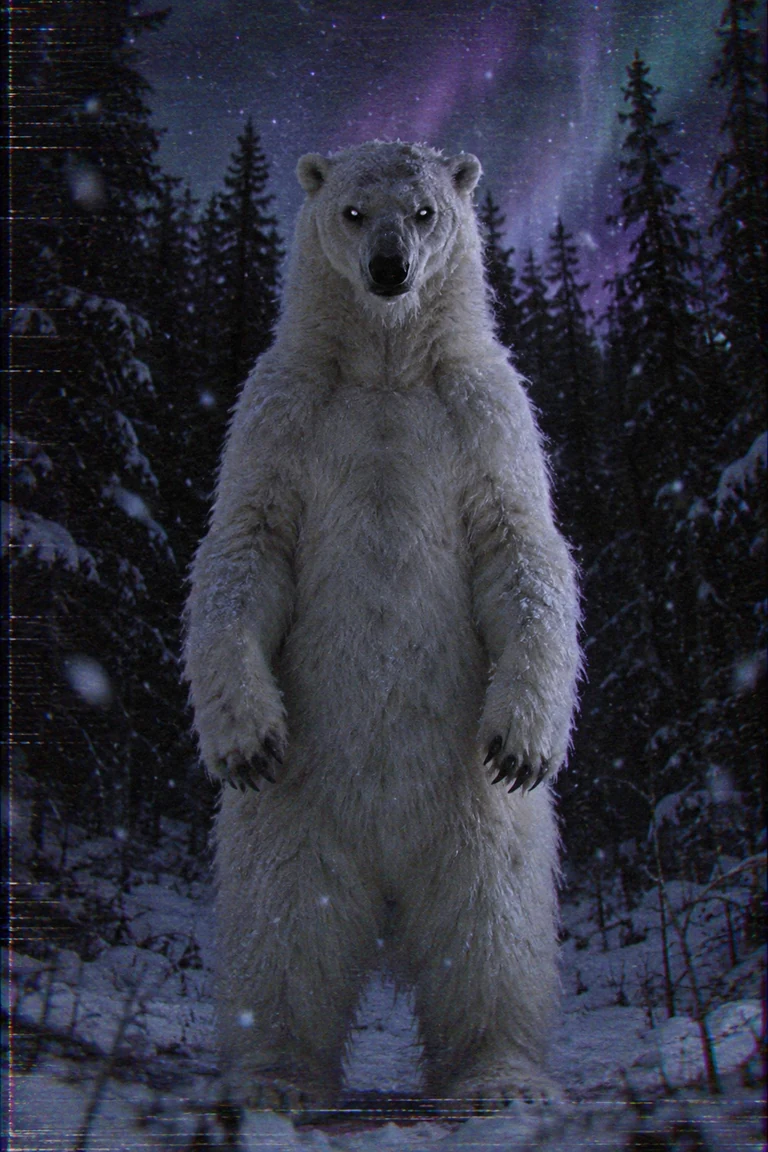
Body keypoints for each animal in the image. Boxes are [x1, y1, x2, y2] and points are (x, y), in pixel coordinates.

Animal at [183, 141, 581, 1109]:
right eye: (355, 211)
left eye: (426, 210)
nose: (389, 269)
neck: (387, 369)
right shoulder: (281, 409)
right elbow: (244, 549)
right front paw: (242, 737)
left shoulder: (486, 410)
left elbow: (524, 550)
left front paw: (528, 742)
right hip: (300, 804)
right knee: (287, 925)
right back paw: (275, 1076)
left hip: (470, 807)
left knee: (490, 922)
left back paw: (500, 1076)